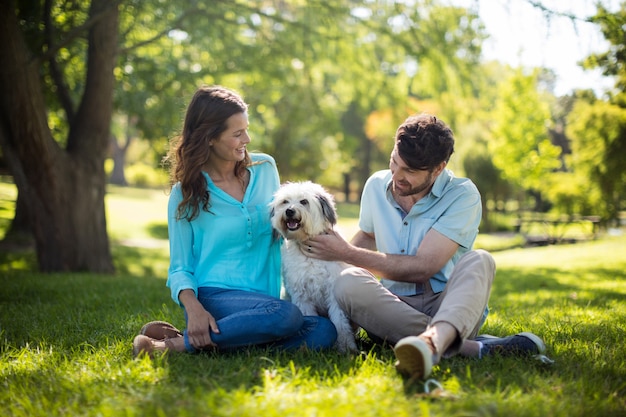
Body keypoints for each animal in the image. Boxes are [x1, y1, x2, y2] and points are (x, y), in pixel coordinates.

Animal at [268, 180, 356, 352]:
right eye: (285, 201)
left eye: (304, 201)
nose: (289, 211)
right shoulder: (302, 295)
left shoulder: (333, 293)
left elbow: (340, 323)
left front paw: (346, 346)